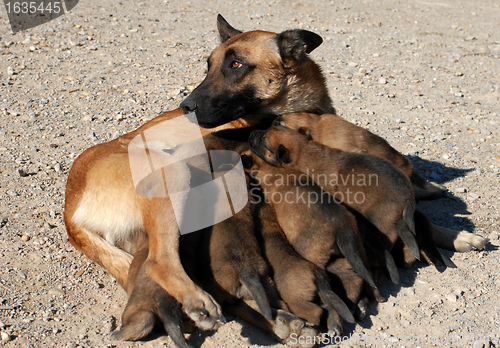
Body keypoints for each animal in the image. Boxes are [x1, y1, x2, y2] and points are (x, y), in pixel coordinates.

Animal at [254, 201, 356, 338]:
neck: (270, 230)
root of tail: (317, 276)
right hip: (322, 294)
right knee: (328, 307)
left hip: (295, 300)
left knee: (316, 312)